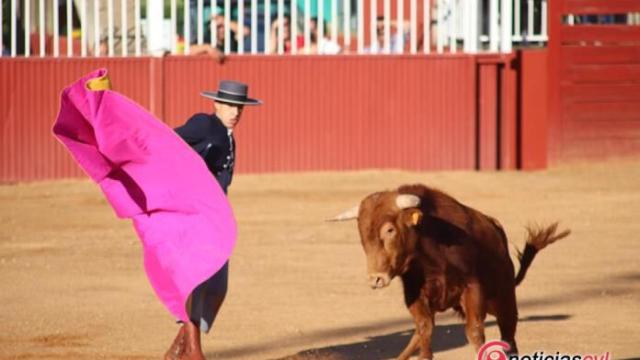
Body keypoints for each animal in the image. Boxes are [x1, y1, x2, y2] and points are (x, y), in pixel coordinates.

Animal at [330, 184, 568, 358]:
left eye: (389, 229)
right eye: (362, 234)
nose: (376, 279)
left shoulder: (473, 289)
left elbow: (474, 332)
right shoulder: (414, 295)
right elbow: (425, 331)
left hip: (504, 297)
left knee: (508, 331)